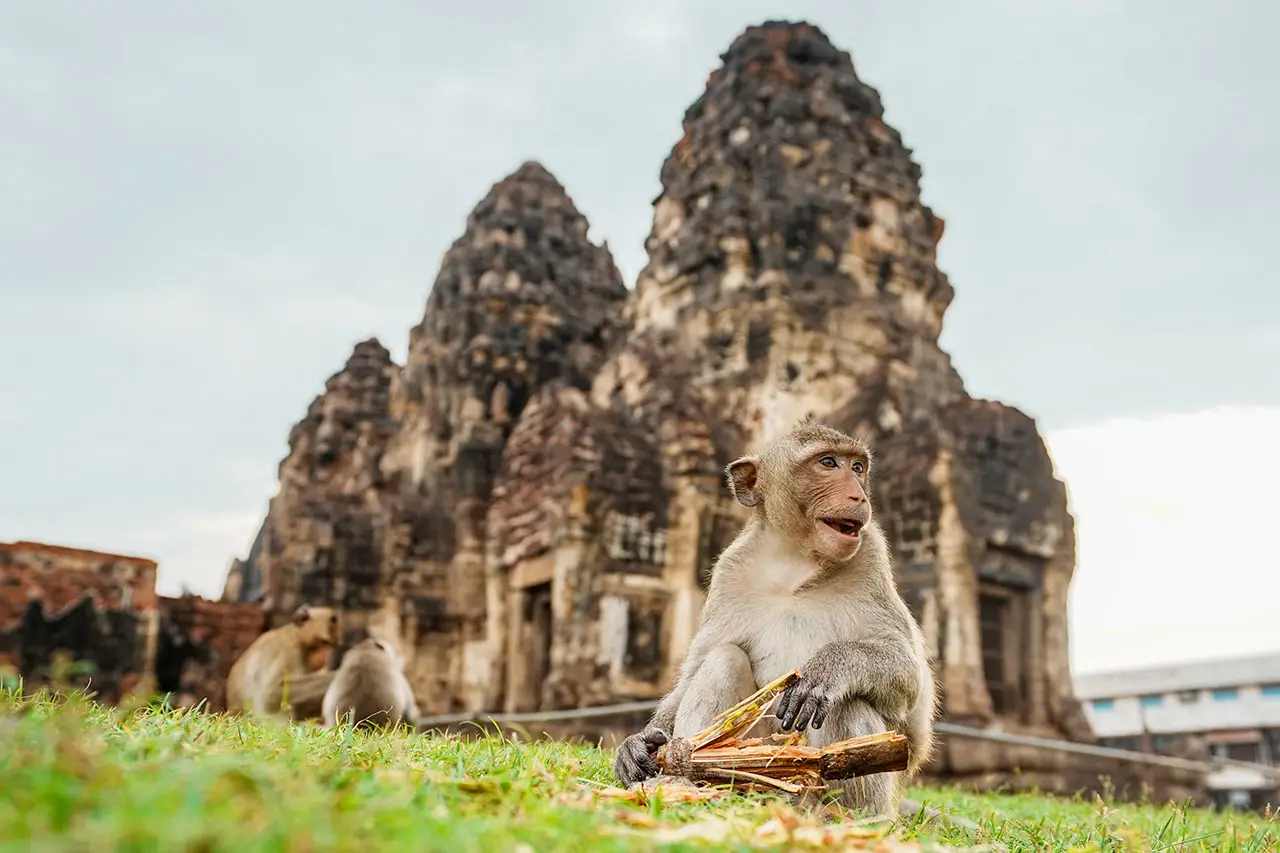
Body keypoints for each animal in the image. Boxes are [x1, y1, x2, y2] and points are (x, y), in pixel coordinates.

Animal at [614, 417, 936, 819]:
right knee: (724, 658)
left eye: (858, 467)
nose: (859, 497)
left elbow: (907, 677)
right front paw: (641, 742)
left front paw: (826, 670)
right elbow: (694, 672)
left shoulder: (872, 557)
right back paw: (685, 776)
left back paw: (846, 817)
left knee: (845, 703)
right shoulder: (729, 573)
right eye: (828, 463)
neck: (794, 562)